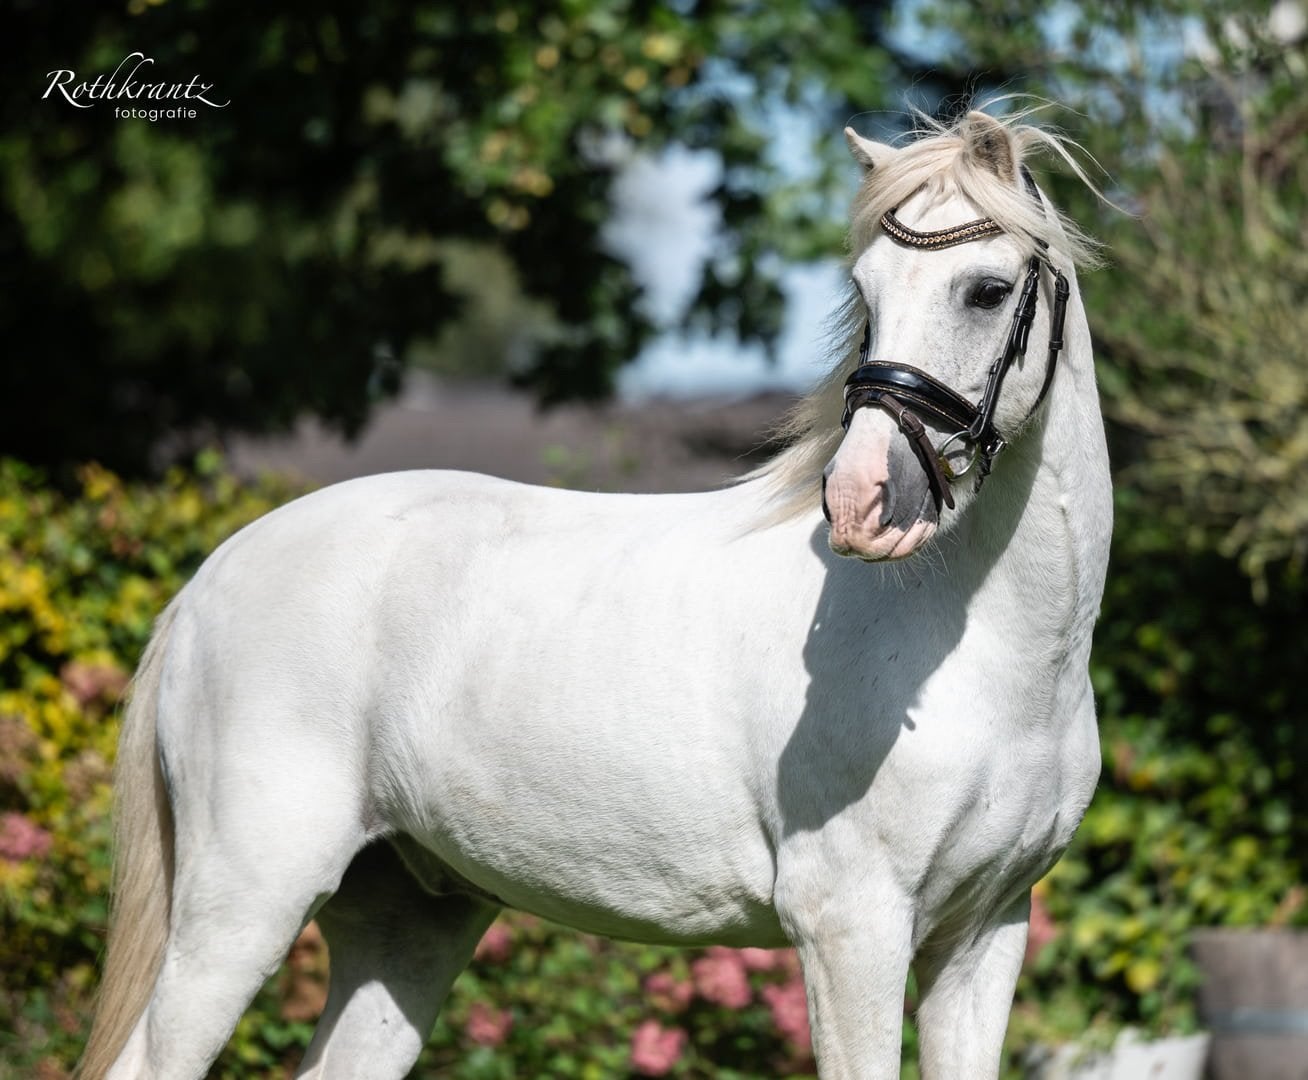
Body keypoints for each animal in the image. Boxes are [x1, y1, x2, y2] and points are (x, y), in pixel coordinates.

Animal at [80, 109, 1111, 1079]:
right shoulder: (852, 927)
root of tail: (215, 574)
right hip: (244, 899)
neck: (981, 655)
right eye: (865, 292)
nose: (863, 500)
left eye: (985, 290)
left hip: (408, 917)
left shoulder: (983, 938)